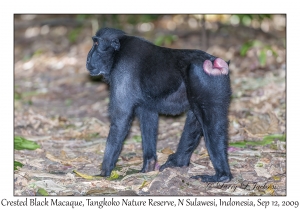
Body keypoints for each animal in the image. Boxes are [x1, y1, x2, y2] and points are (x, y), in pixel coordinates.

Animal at [86, 27, 232, 182]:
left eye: (96, 44)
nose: (88, 58)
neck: (118, 52)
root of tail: (214, 62)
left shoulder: (122, 72)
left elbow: (121, 119)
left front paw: (104, 173)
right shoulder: (146, 105)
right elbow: (148, 117)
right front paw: (148, 167)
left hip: (204, 82)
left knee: (210, 123)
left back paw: (222, 176)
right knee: (196, 118)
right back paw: (179, 162)